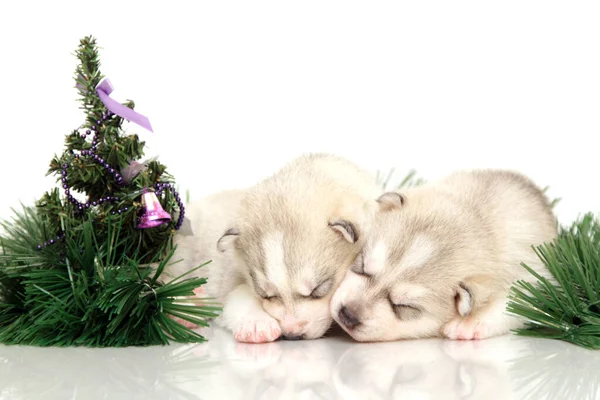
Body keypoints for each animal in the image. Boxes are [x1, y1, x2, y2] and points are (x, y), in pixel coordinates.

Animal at [330, 169, 556, 340]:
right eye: (362, 267)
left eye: (403, 305)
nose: (347, 314)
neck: (479, 220)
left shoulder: (532, 277)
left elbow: (513, 302)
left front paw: (470, 322)